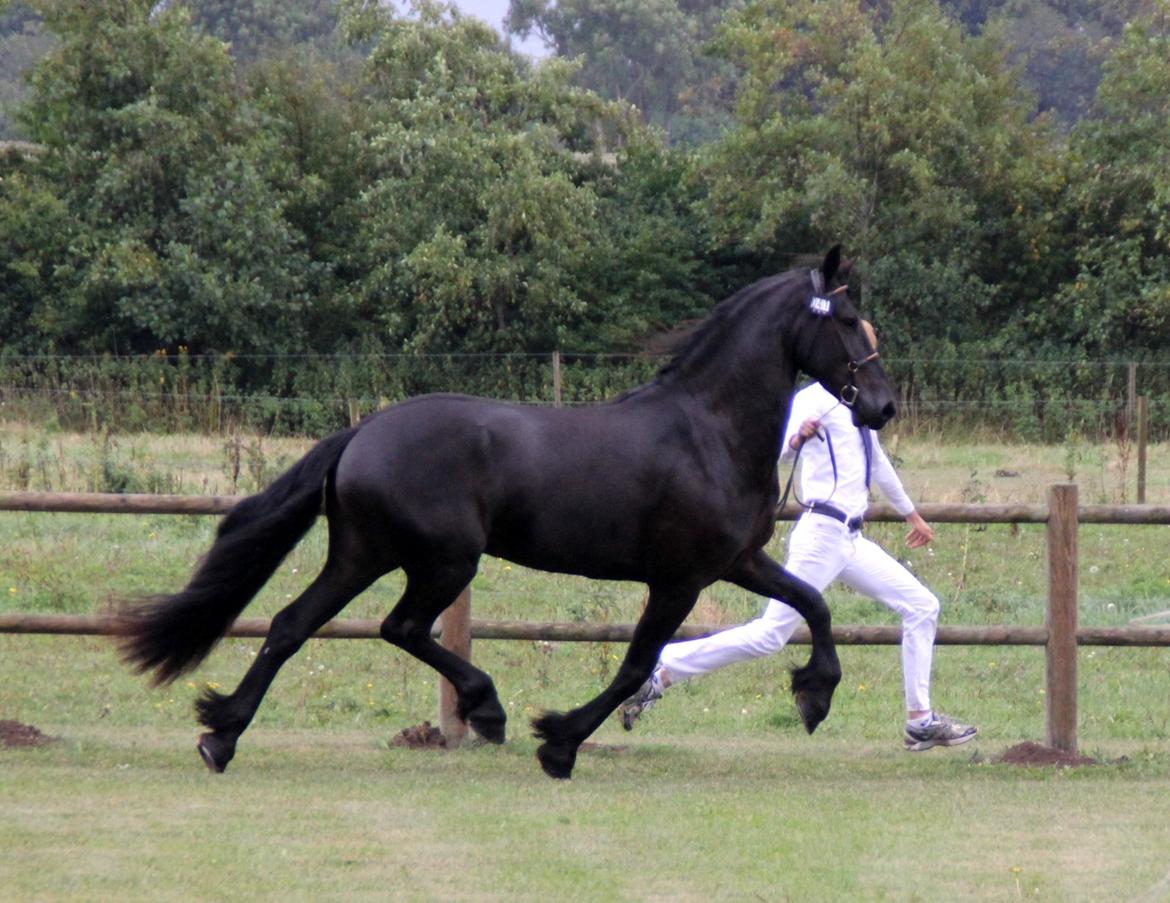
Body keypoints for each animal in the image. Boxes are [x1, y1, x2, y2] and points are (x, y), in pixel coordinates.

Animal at [118, 245, 893, 776]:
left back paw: (221, 734)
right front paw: (559, 742)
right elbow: (636, 664)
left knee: (291, 625)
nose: (883, 406)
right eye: (849, 319)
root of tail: (362, 433)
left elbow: (814, 605)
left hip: (364, 554)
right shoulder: (678, 579)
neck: (708, 428)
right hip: (442, 561)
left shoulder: (737, 560)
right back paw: (484, 707)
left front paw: (815, 696)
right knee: (397, 626)